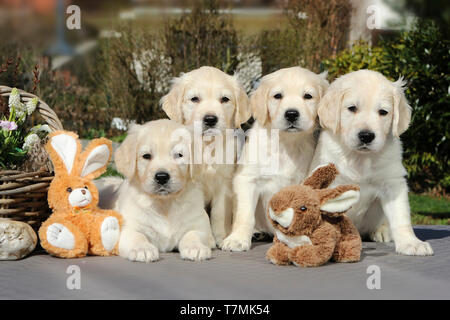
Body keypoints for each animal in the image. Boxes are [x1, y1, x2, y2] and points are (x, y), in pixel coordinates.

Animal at [96, 120, 214, 262]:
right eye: (146, 156)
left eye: (179, 155)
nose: (162, 177)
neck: (164, 204)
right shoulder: (127, 228)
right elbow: (137, 236)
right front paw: (142, 249)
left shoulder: (200, 225)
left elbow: (193, 234)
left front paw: (195, 247)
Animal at [160, 64, 251, 245]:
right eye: (195, 99)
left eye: (225, 99)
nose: (210, 119)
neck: (207, 145)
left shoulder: (225, 183)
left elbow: (219, 213)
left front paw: (221, 237)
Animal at [223, 66, 328, 251]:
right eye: (278, 96)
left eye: (308, 96)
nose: (291, 114)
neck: (285, 143)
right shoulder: (247, 179)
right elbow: (245, 214)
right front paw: (237, 239)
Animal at [310, 69, 432, 255]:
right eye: (352, 108)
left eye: (383, 112)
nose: (366, 136)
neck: (359, 158)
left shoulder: (393, 184)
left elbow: (401, 217)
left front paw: (411, 243)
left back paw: (382, 231)